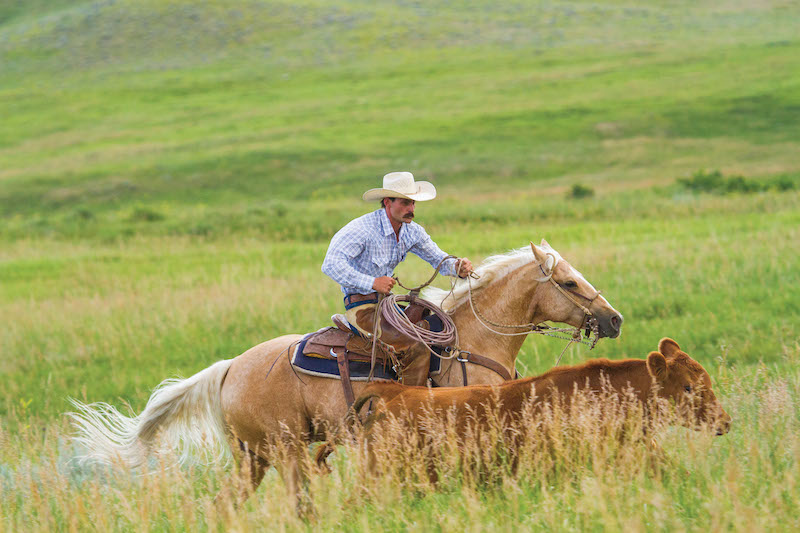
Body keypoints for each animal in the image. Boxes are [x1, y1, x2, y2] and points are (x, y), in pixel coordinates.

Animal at [69, 239, 623, 503]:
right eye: (569, 283)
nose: (613, 319)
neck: (471, 343)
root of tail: (228, 370)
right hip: (286, 452)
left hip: (253, 458)